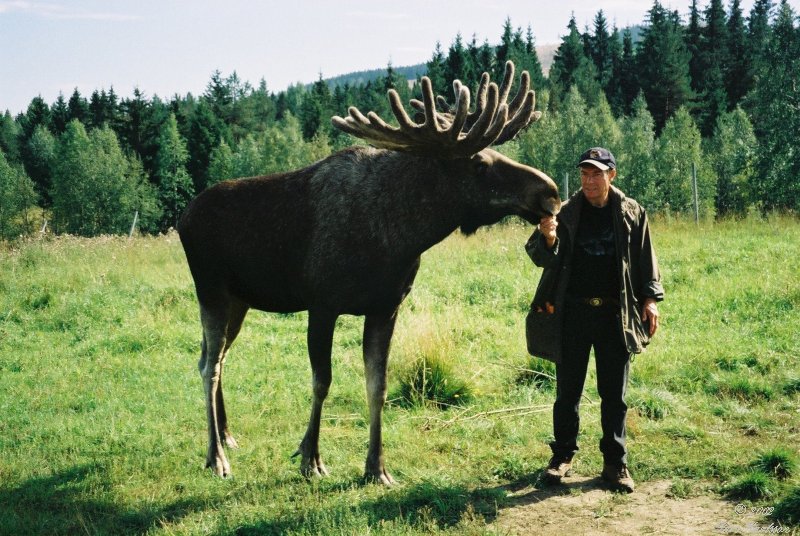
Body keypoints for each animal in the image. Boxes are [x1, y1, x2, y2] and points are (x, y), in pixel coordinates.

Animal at [177, 60, 564, 484]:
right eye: (479, 162)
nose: (550, 192)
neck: (400, 237)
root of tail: (182, 218)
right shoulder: (322, 304)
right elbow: (322, 381)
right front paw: (310, 457)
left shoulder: (385, 307)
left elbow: (377, 385)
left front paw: (376, 467)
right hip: (210, 290)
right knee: (209, 366)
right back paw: (215, 456)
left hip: (240, 301)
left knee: (213, 357)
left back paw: (227, 436)